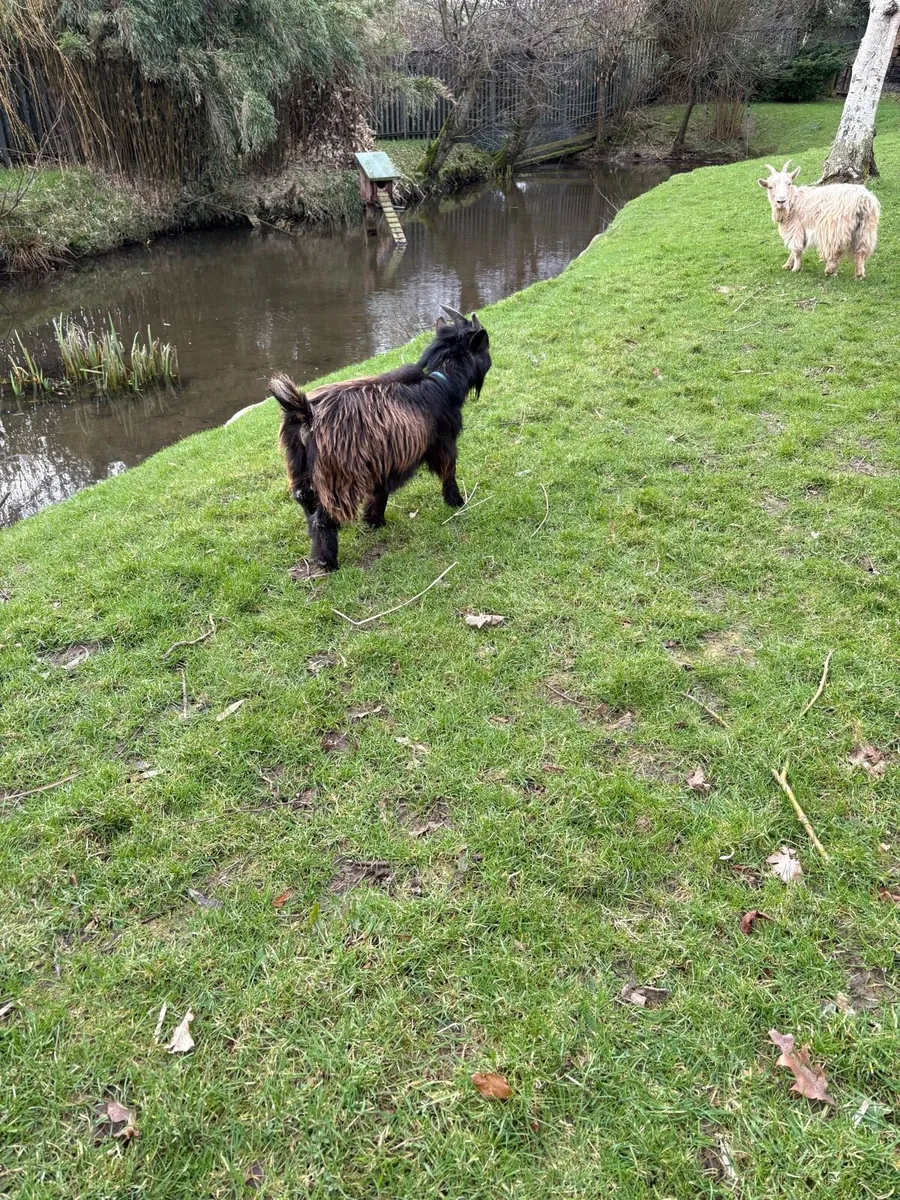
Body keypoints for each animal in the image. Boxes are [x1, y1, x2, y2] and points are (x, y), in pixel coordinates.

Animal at [270, 306, 491, 572]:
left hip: (300, 470)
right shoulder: (443, 443)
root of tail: (305, 413)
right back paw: (328, 562)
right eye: (485, 346)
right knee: (323, 519)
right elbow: (448, 473)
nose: (490, 362)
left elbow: (380, 492)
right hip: (338, 478)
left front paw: (375, 521)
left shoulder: (383, 460)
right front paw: (457, 502)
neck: (442, 381)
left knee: (308, 509)